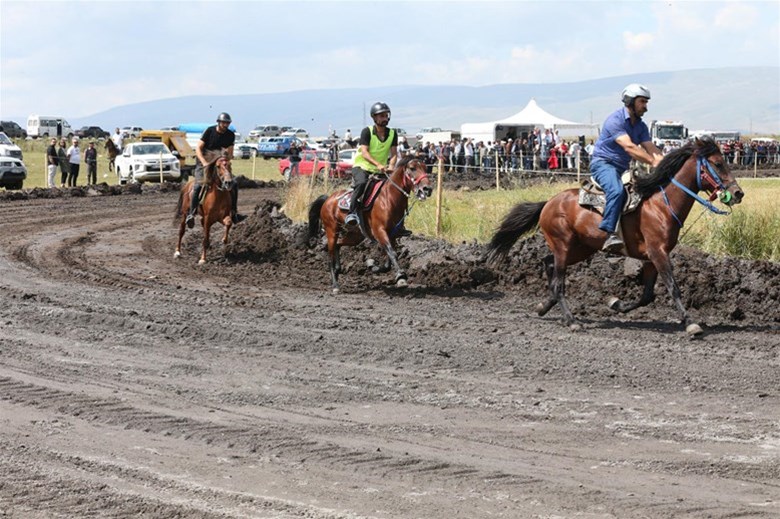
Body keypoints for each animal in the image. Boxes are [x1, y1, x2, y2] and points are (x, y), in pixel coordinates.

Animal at [308, 155, 436, 292]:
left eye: (425, 168)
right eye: (412, 168)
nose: (427, 189)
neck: (389, 199)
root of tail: (328, 199)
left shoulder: (393, 234)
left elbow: (388, 261)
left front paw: (373, 267)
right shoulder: (380, 231)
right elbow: (392, 253)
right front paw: (401, 277)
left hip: (356, 236)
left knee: (338, 244)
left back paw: (338, 270)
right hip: (331, 230)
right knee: (330, 255)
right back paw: (335, 284)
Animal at [488, 137, 744, 338]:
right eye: (718, 163)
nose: (738, 193)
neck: (661, 205)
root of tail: (549, 203)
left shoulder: (650, 258)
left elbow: (647, 296)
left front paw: (616, 304)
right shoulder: (658, 253)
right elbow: (673, 287)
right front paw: (691, 324)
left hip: (581, 248)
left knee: (548, 263)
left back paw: (544, 306)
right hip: (563, 245)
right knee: (558, 282)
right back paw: (571, 320)